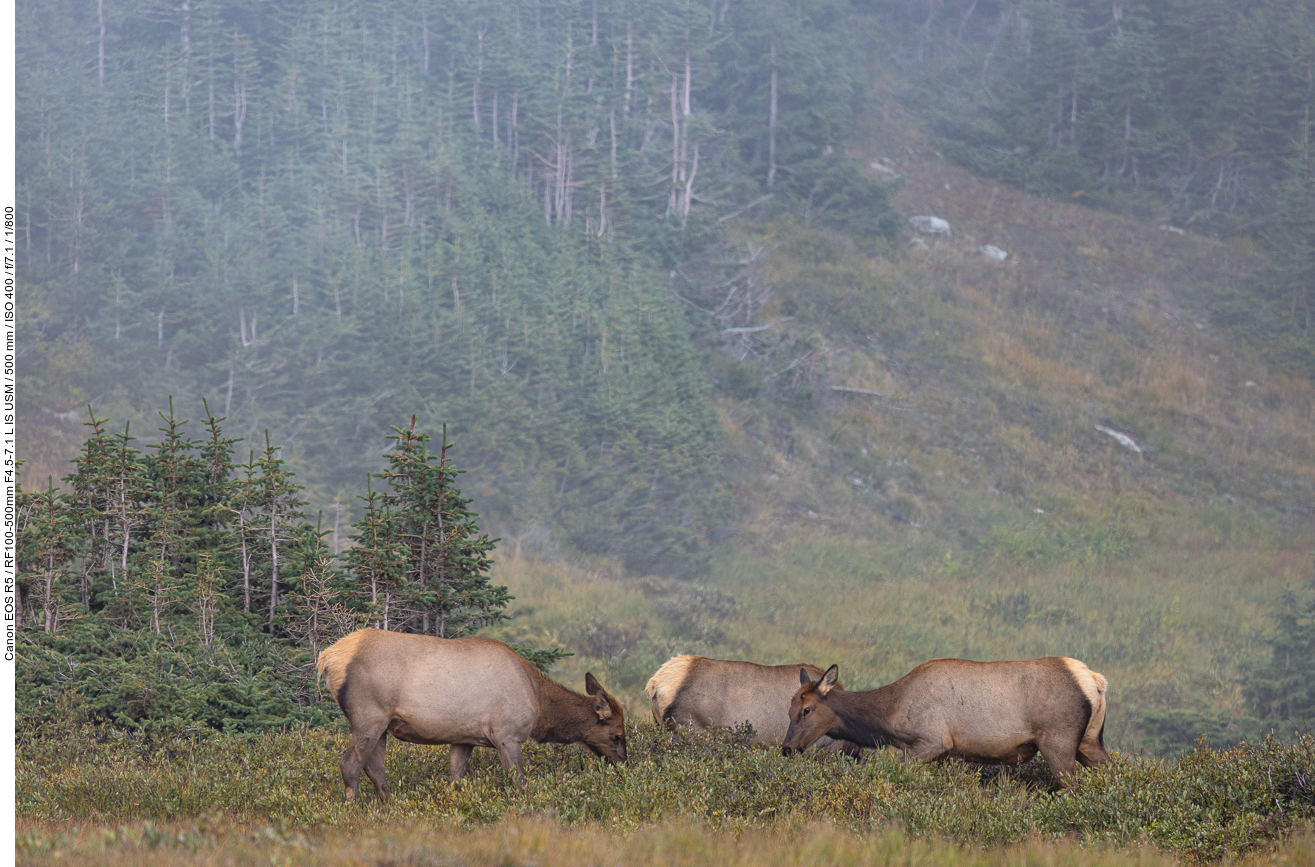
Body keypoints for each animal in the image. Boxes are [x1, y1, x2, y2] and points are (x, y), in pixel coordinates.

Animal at [316, 626, 625, 805]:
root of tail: (328, 658)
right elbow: (518, 781)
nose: (623, 764)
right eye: (617, 735)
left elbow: (456, 780)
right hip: (369, 715)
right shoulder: (508, 734)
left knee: (375, 767)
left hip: (382, 724)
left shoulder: (463, 738)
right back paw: (353, 808)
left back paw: (391, 805)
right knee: (350, 764)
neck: (539, 705)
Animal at [778, 657, 1109, 778]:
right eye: (789, 709)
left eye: (806, 709)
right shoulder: (945, 755)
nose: (787, 748)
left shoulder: (932, 741)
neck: (889, 714)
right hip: (1090, 741)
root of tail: (1095, 680)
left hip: (1058, 741)